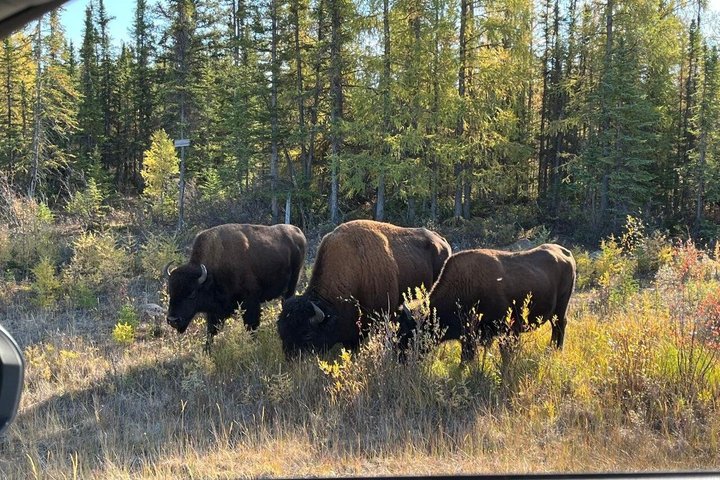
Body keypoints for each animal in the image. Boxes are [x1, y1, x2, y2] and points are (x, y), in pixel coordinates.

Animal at [165, 223, 307, 348]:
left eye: (192, 294)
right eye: (170, 291)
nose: (172, 320)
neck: (212, 274)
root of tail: (298, 232)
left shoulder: (250, 302)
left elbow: (251, 326)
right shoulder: (215, 311)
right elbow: (211, 332)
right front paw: (207, 351)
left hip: (292, 284)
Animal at [398, 243, 576, 362]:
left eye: (407, 332)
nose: (399, 358)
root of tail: (566, 253)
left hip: (561, 308)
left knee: (560, 325)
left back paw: (556, 350)